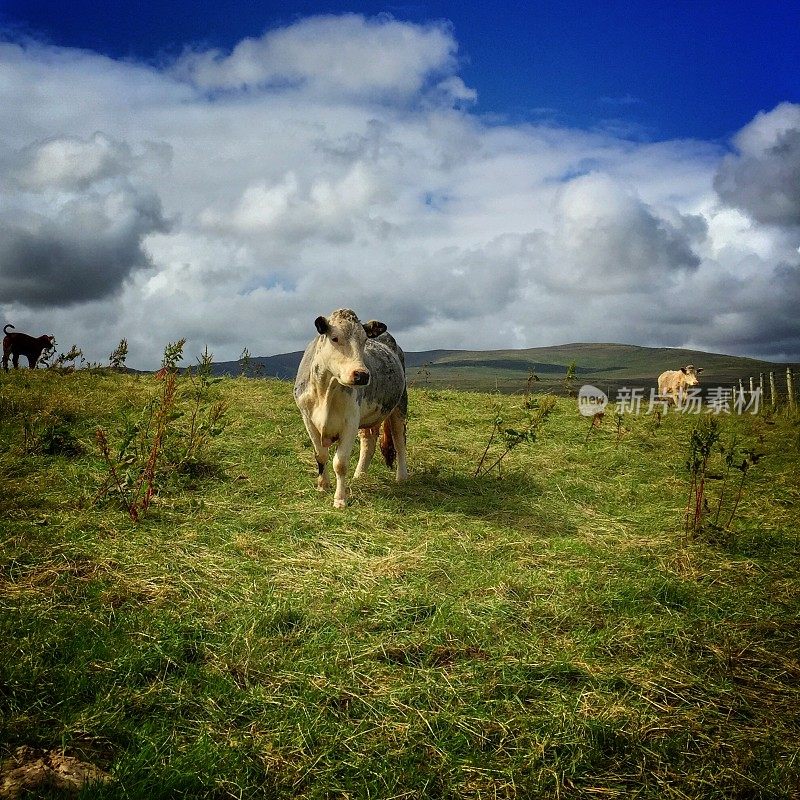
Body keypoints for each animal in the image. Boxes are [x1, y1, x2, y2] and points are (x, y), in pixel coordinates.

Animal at [294, 306, 410, 506]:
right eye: (334, 338)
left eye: (364, 340)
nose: (362, 375)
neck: (325, 390)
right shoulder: (308, 419)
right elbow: (321, 455)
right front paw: (322, 486)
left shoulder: (350, 422)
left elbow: (340, 463)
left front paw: (340, 499)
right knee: (368, 442)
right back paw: (360, 475)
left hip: (399, 405)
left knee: (399, 440)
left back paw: (401, 477)